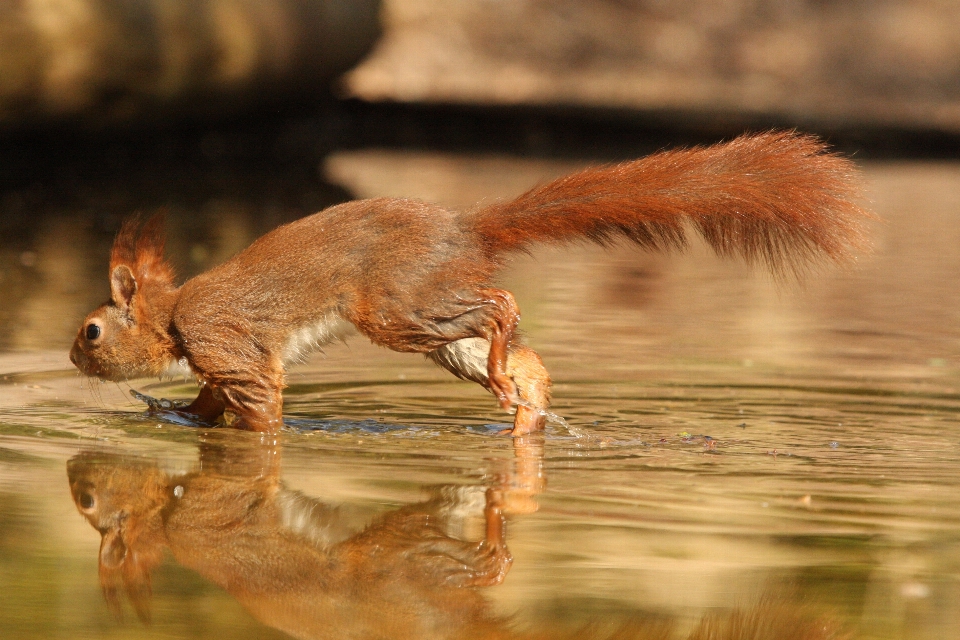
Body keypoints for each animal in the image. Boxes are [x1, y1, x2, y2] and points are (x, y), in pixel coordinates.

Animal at [71, 132, 872, 432]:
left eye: (92, 330)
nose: (73, 358)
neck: (173, 313)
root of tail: (466, 229)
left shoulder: (226, 344)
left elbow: (257, 404)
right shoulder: (221, 360)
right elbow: (208, 399)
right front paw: (174, 413)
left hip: (397, 305)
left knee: (499, 306)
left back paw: (507, 378)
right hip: (430, 325)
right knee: (519, 356)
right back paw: (523, 411)